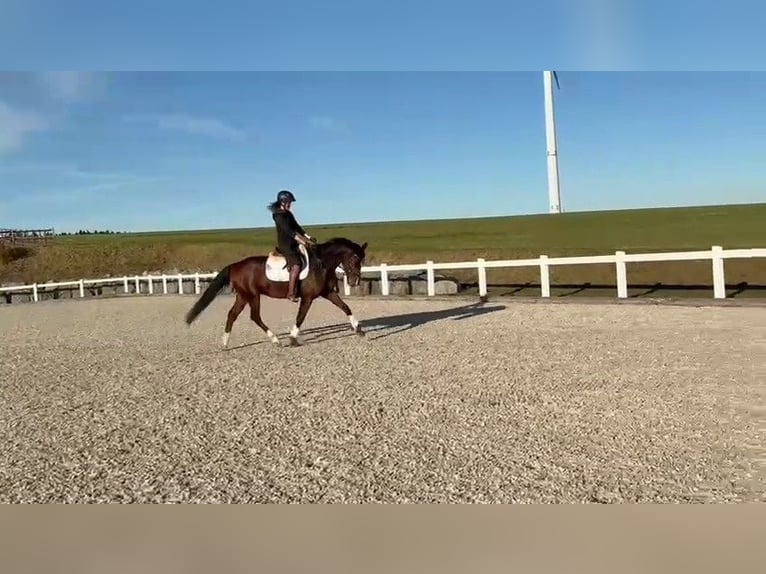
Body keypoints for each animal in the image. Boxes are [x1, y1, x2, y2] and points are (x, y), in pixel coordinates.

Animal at [184, 237, 368, 347]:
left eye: (361, 259)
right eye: (355, 258)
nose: (355, 281)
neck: (320, 264)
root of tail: (234, 265)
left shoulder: (328, 293)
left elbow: (345, 307)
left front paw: (358, 330)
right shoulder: (308, 297)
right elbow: (300, 317)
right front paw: (293, 338)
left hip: (243, 296)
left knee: (232, 315)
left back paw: (225, 343)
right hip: (252, 295)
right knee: (254, 316)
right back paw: (275, 339)